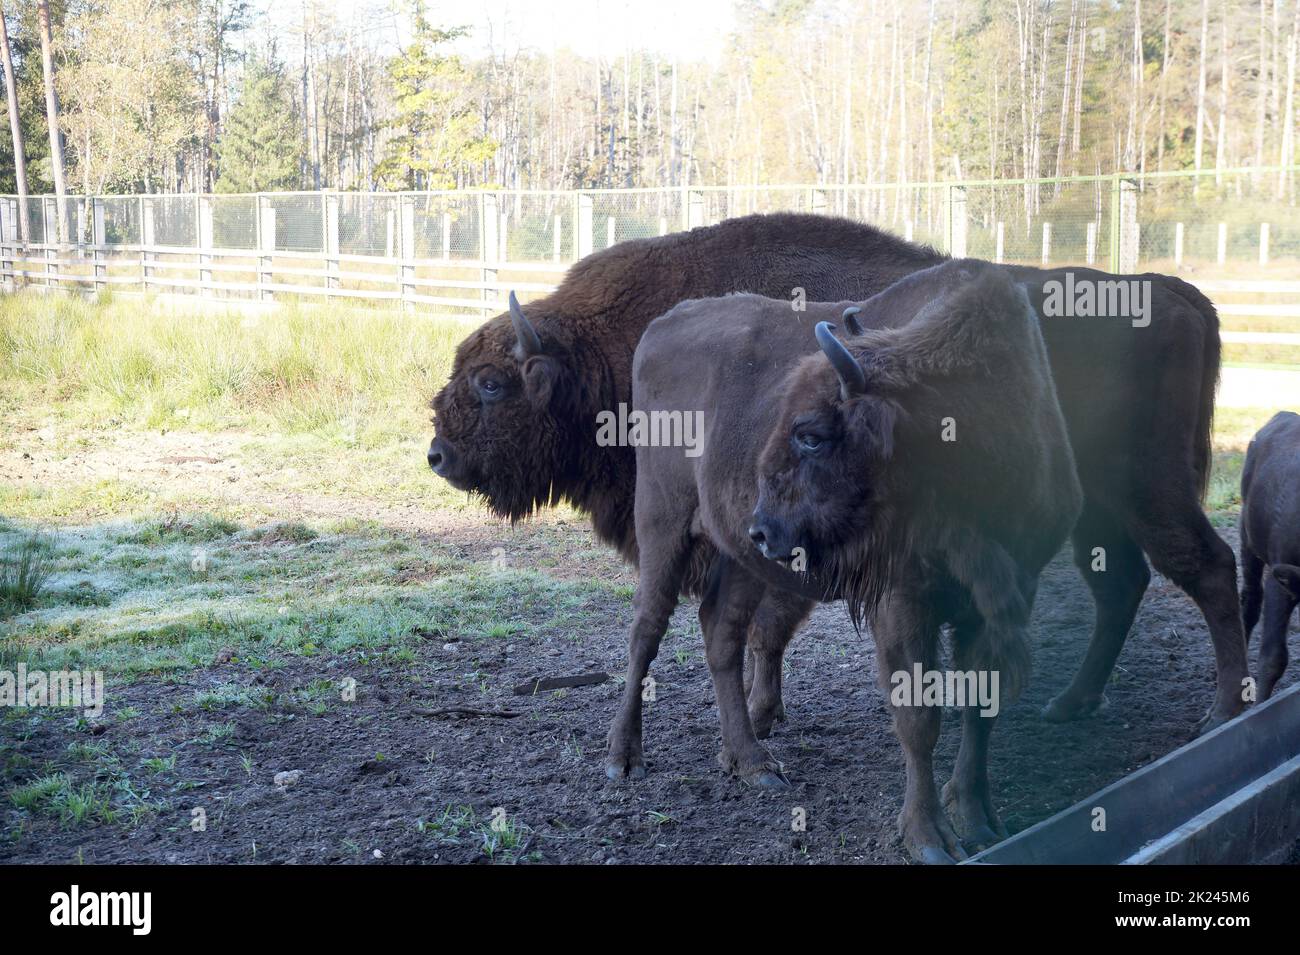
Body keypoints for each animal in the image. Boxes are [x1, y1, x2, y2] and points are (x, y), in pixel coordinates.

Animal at [431, 210, 1253, 753]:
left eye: (491, 383)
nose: (438, 454)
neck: (602, 352)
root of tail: (1172, 291)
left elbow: (765, 626)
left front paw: (762, 716)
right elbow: (760, 628)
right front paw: (764, 717)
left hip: (1150, 489)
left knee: (1209, 567)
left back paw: (1221, 713)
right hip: (1099, 512)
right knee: (1123, 585)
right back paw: (1070, 703)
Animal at [613, 263, 1081, 867]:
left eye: (810, 434)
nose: (764, 528)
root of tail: (663, 325)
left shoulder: (1005, 599)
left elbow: (981, 707)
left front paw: (978, 820)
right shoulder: (903, 602)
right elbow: (919, 717)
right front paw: (928, 837)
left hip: (739, 559)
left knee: (721, 633)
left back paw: (752, 764)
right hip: (662, 523)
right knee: (646, 628)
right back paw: (624, 758)